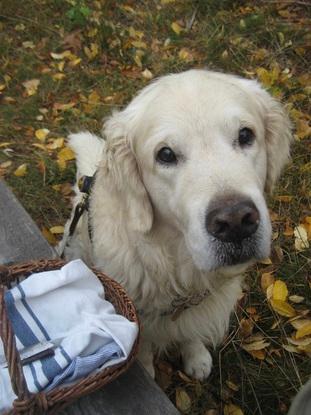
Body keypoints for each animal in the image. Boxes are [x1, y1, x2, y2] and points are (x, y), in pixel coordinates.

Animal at [61, 70, 292, 380]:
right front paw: (148, 373)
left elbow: (190, 333)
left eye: (245, 135)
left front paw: (196, 357)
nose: (235, 222)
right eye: (166, 154)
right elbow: (143, 348)